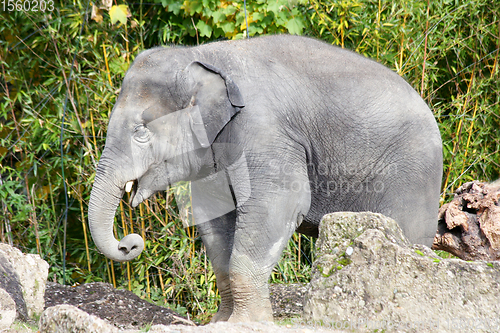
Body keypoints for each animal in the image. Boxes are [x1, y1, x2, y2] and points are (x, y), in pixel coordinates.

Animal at [88, 34, 444, 322]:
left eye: (140, 132)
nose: (129, 243)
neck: (201, 56)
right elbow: (215, 218)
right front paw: (220, 323)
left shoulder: (265, 132)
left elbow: (277, 204)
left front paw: (245, 324)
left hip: (410, 175)